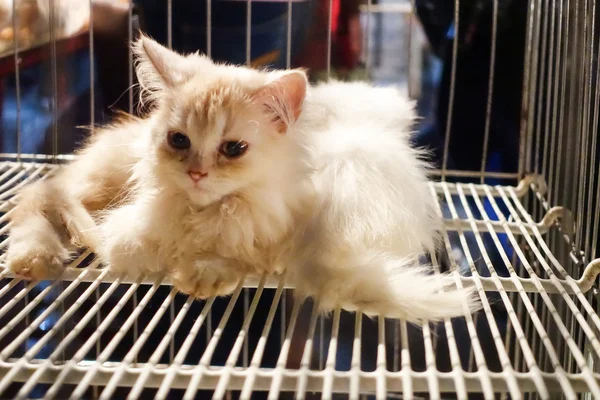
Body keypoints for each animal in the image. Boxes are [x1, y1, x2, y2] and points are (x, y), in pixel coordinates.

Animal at [4, 33, 478, 322]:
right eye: (179, 140)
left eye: (232, 149)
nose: (196, 173)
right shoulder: (129, 231)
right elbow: (135, 248)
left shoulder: (277, 238)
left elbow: (239, 254)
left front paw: (203, 272)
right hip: (100, 181)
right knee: (38, 197)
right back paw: (35, 257)